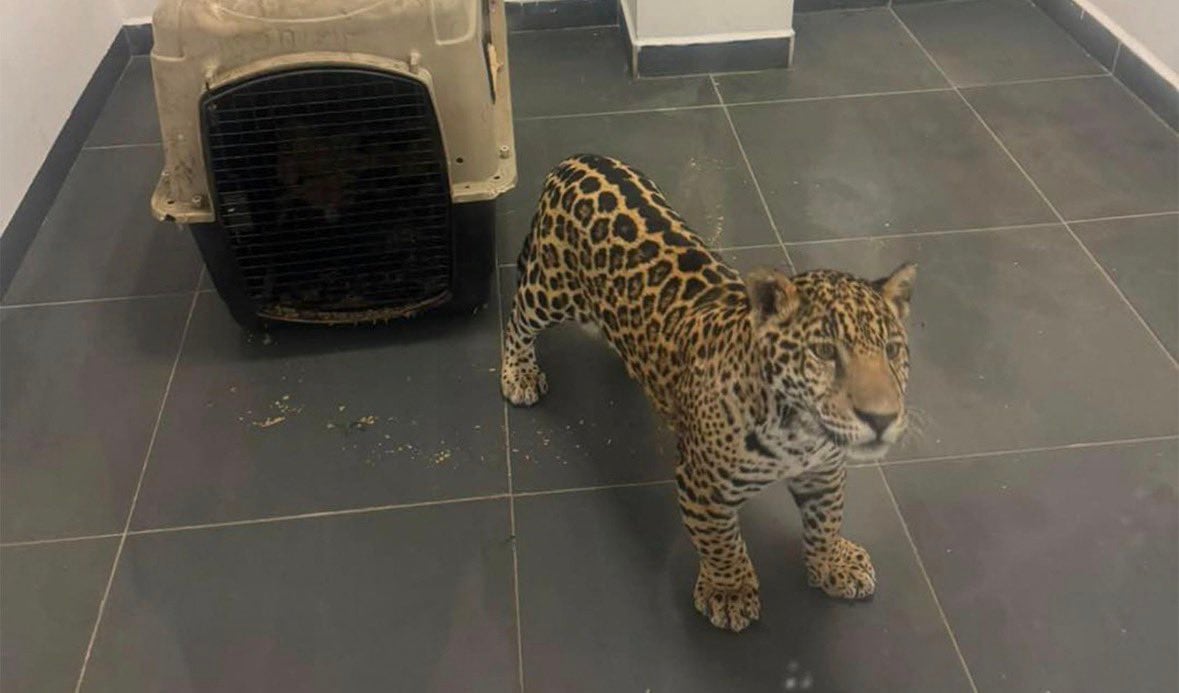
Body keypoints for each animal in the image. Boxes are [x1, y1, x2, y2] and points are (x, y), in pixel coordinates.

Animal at [501, 154, 917, 632]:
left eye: (892, 350)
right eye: (825, 352)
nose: (881, 418)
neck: (798, 433)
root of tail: (579, 159)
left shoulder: (824, 471)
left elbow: (827, 519)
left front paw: (833, 564)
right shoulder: (702, 486)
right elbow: (721, 542)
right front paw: (729, 592)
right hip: (550, 290)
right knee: (517, 317)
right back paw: (518, 372)